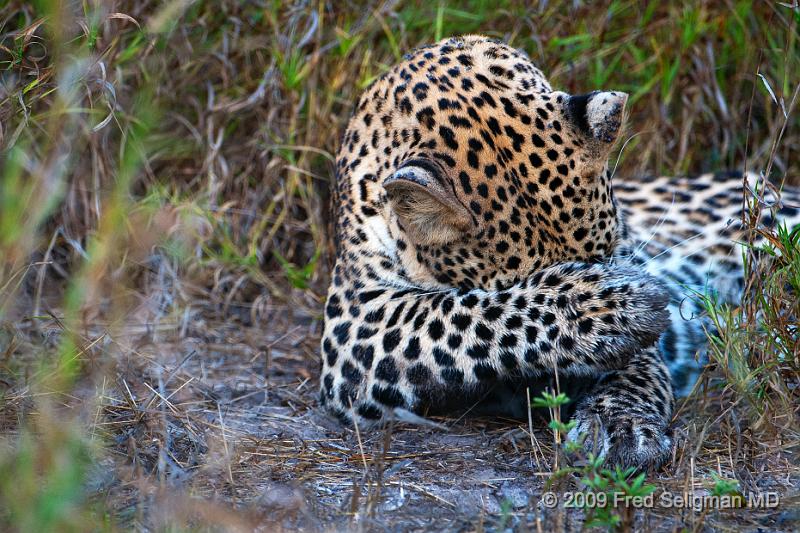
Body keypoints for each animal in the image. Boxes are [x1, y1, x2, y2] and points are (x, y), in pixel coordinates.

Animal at [318, 34, 800, 470]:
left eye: (612, 255)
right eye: (526, 279)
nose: (576, 386)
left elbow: (641, 366)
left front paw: (618, 419)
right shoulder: (355, 322)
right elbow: (467, 312)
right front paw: (601, 310)